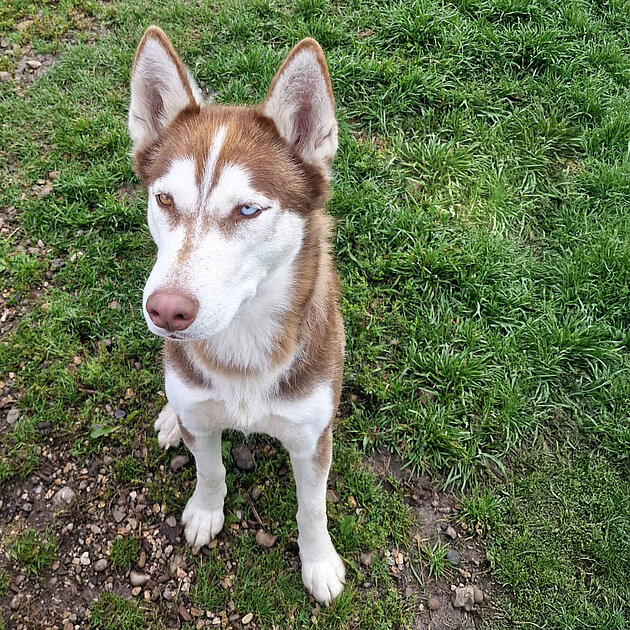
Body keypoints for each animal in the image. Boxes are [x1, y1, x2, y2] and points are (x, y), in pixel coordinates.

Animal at [128, 26, 345, 604]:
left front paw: (319, 563)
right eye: (164, 199)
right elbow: (209, 471)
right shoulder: (202, 416)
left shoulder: (311, 439)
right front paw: (206, 512)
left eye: (248, 209)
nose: (167, 311)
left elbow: (312, 508)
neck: (243, 345)